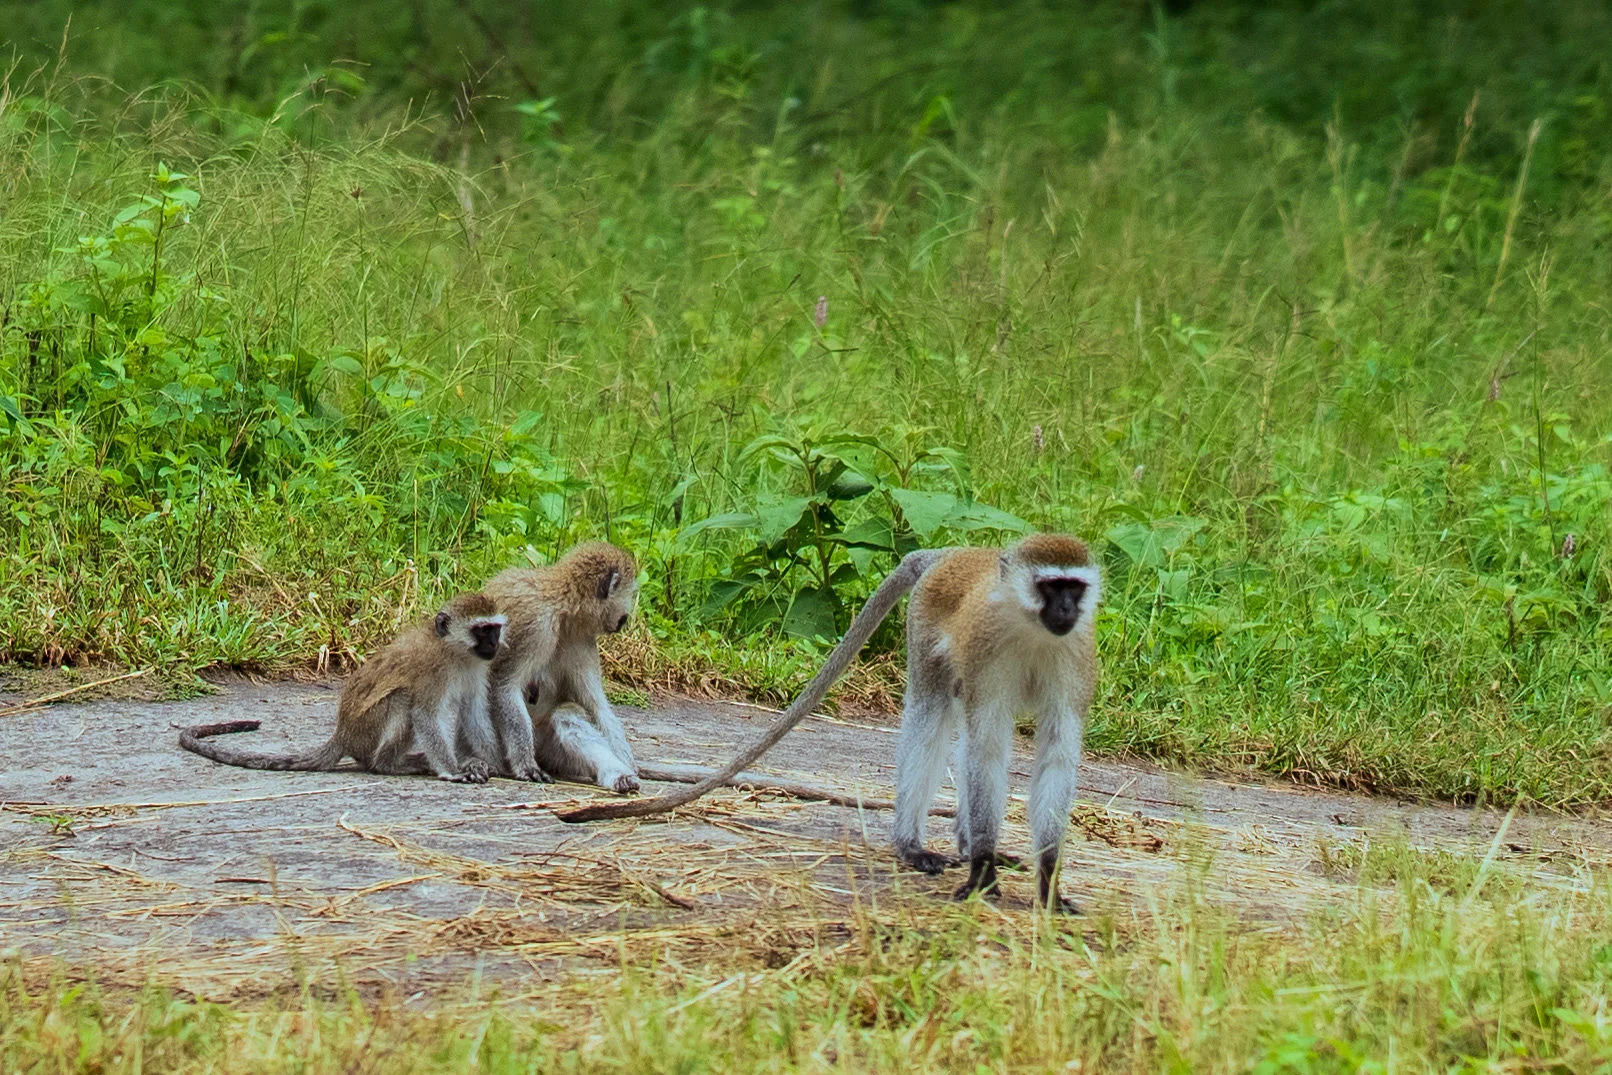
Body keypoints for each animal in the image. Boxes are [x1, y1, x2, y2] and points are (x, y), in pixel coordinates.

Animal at [179, 592, 507, 783]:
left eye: (495, 629)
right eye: (482, 630)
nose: (494, 645)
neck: (455, 653)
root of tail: (343, 735)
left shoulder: (476, 667)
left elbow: (474, 712)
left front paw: (494, 764)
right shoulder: (430, 670)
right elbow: (424, 715)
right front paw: (453, 771)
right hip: (366, 732)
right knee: (402, 701)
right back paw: (388, 765)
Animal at [480, 541, 642, 792]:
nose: (625, 617)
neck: (563, 607)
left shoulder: (582, 639)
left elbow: (597, 706)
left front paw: (626, 763)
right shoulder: (536, 626)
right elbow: (504, 686)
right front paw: (526, 765)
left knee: (566, 715)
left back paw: (617, 775)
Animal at [554, 535, 1099, 913]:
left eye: (1074, 587)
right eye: (1051, 586)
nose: (1067, 608)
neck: (1031, 629)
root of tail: (957, 552)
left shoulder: (1076, 657)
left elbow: (1055, 752)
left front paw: (1048, 880)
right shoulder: (988, 652)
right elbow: (986, 750)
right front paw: (984, 872)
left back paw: (964, 845)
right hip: (926, 628)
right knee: (932, 715)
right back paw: (915, 847)